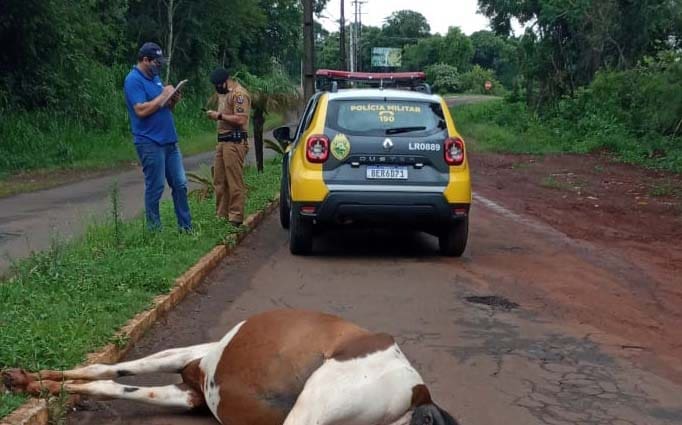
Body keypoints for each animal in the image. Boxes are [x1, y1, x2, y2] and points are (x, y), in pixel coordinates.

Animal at [2, 308, 460, 424]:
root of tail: (417, 390)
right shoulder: (187, 390)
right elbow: (108, 379)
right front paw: (27, 381)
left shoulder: (189, 360)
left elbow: (109, 374)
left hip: (311, 408)